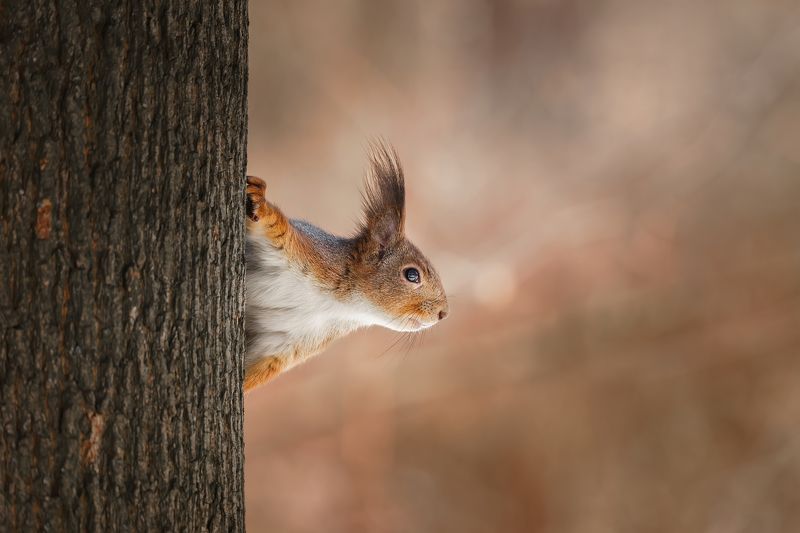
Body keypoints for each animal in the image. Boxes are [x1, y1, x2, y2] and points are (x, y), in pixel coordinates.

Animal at [244, 142, 449, 391]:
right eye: (412, 274)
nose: (443, 313)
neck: (339, 305)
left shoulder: (287, 342)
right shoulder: (301, 249)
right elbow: (271, 223)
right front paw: (258, 199)